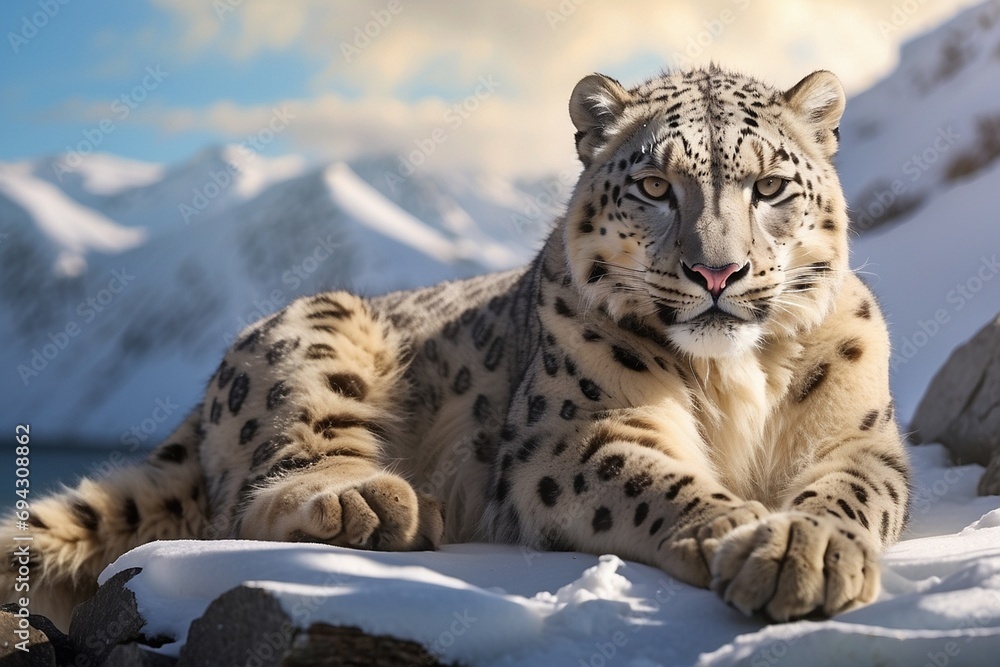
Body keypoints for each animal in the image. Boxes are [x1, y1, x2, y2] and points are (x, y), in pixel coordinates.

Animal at [3, 65, 910, 631]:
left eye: (771, 186)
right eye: (655, 186)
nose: (717, 270)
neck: (734, 376)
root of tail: (203, 396)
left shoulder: (856, 433)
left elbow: (853, 491)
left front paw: (805, 550)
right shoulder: (575, 432)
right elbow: (656, 481)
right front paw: (747, 532)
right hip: (317, 341)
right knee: (259, 489)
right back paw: (374, 503)